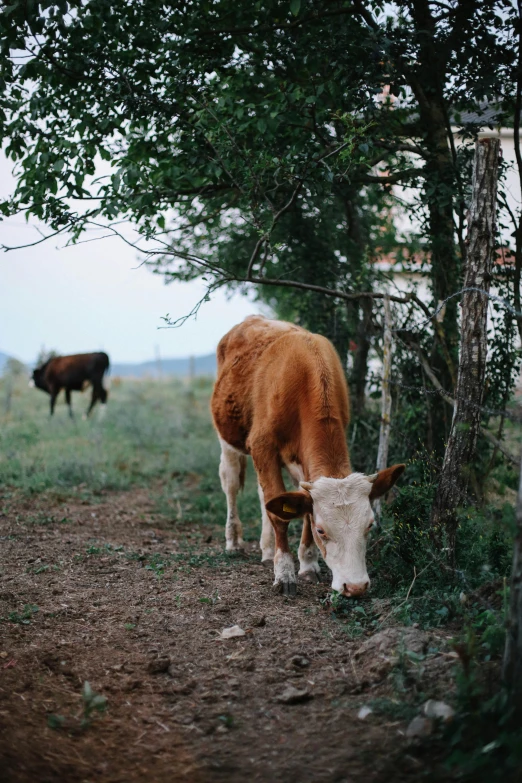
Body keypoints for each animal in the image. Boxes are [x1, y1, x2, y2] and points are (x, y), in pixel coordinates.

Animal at [209, 316, 404, 596]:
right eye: (322, 530)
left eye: (369, 525)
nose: (355, 586)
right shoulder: (261, 446)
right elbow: (280, 514)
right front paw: (284, 574)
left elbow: (300, 509)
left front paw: (308, 564)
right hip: (228, 439)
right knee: (231, 483)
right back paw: (234, 541)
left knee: (265, 496)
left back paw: (266, 549)